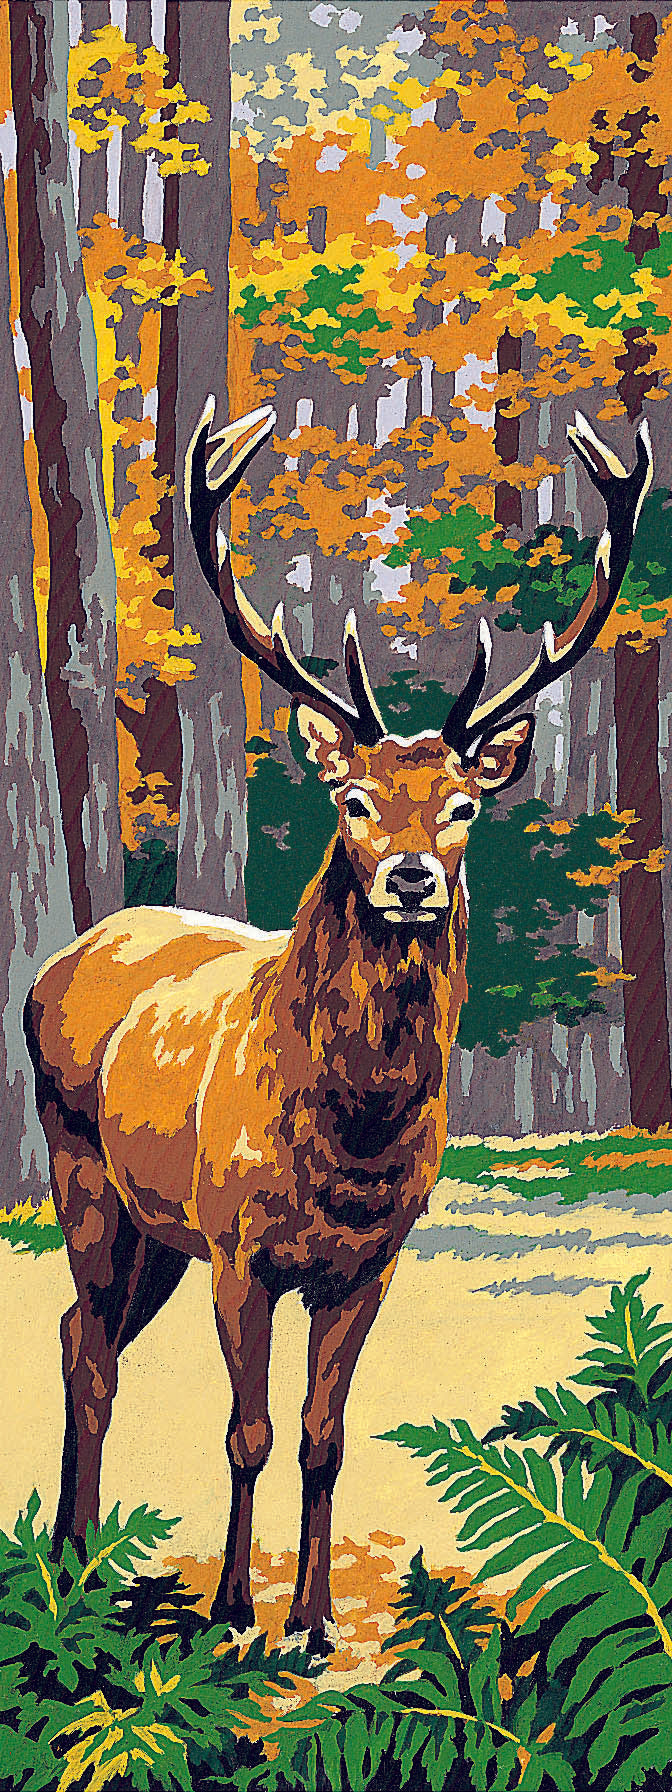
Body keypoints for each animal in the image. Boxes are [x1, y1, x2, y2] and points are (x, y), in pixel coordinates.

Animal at [24, 401, 652, 1654]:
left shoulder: (371, 1261)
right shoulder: (241, 1248)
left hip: (156, 1229)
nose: (411, 877)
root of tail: (59, 959)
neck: (349, 1141)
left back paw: (87, 1555)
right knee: (89, 1348)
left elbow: (322, 1436)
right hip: (85, 1170)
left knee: (82, 1332)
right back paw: (74, 1565)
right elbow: (248, 1431)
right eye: (354, 798)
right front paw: (232, 1612)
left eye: (462, 804)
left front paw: (311, 1621)